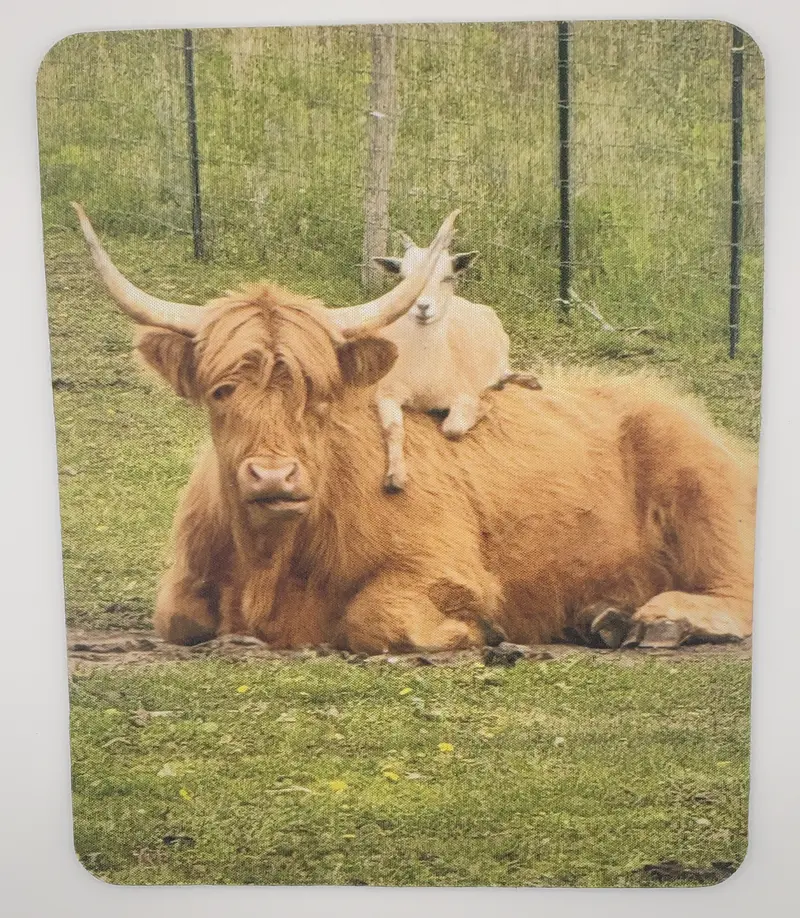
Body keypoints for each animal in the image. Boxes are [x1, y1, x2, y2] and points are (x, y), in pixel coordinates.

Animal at [369, 231, 541, 492]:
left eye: (448, 276)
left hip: (502, 350)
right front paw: (395, 477)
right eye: (403, 277)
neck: (424, 377)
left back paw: (523, 381)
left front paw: (483, 407)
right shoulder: (387, 392)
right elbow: (394, 430)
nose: (422, 307)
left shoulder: (463, 393)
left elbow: (453, 428)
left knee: (504, 373)